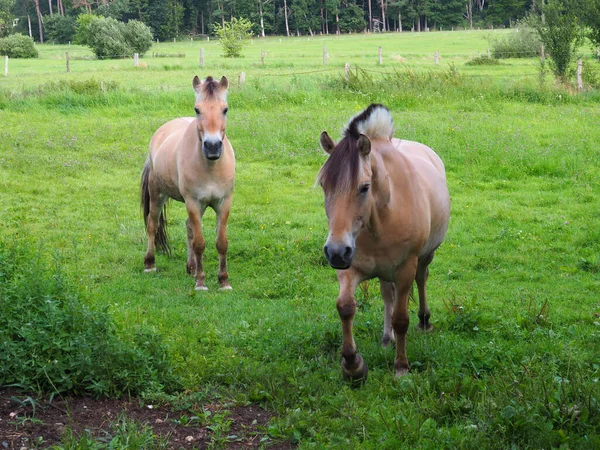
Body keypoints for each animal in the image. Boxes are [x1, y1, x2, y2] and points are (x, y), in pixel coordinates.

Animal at [141, 75, 234, 290]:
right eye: (197, 109)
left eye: (225, 109)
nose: (212, 146)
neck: (211, 167)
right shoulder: (192, 202)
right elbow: (199, 243)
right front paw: (201, 282)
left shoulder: (223, 203)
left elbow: (221, 242)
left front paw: (223, 281)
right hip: (157, 194)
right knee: (152, 225)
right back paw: (150, 263)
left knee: (189, 227)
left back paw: (191, 267)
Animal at [316, 103, 448, 382]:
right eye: (323, 185)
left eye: (364, 187)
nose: (335, 252)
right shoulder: (351, 267)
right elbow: (346, 307)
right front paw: (353, 365)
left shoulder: (405, 269)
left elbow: (401, 318)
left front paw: (401, 367)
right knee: (388, 294)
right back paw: (387, 339)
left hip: (424, 258)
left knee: (422, 280)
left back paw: (424, 321)